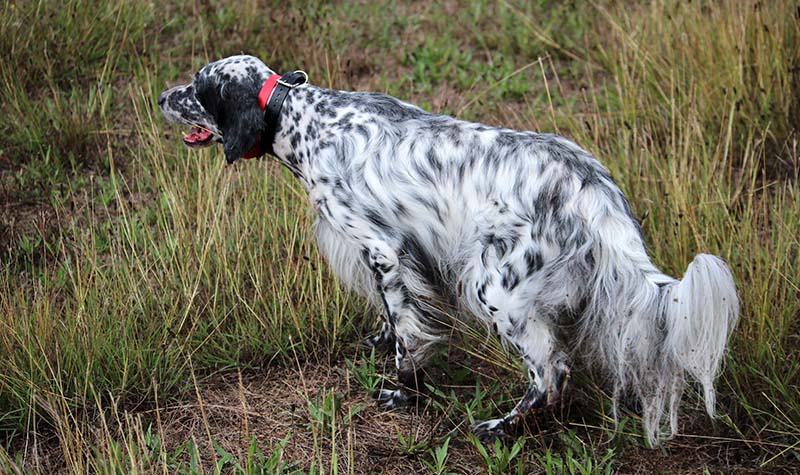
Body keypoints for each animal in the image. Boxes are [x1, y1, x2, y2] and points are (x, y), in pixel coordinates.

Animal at [159, 55, 740, 446]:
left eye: (196, 87)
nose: (162, 97)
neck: (305, 118)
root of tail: (593, 190)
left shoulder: (382, 249)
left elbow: (408, 336)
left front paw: (403, 391)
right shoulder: (400, 258)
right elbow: (395, 321)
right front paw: (379, 344)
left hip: (498, 291)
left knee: (551, 371)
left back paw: (502, 427)